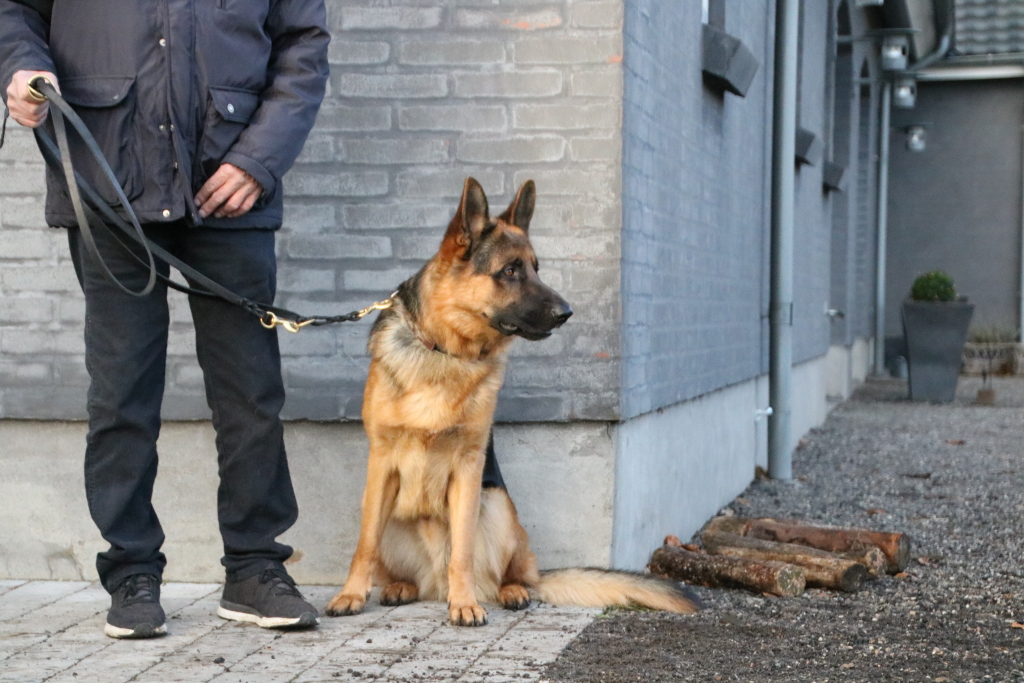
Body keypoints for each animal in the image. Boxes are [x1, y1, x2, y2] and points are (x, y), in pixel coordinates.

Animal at [325, 178, 698, 626]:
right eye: (510, 270)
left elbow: (463, 549)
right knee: (397, 563)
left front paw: (464, 603)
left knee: (511, 573)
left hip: (498, 506)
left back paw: (506, 591)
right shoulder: (381, 464)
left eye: (537, 268)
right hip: (393, 512)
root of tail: (434, 584)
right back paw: (402, 587)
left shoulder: (468, 468)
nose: (567, 313)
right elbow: (363, 546)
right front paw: (351, 594)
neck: (446, 352)